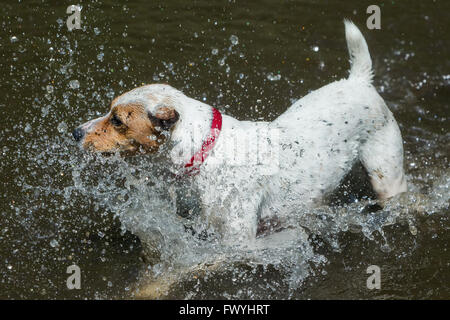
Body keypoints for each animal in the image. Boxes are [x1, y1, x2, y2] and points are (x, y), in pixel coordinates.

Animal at [73, 21, 408, 298]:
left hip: (387, 178)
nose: (76, 132)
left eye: (117, 120)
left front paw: (151, 287)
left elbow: (189, 267)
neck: (210, 151)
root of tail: (359, 81)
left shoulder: (239, 245)